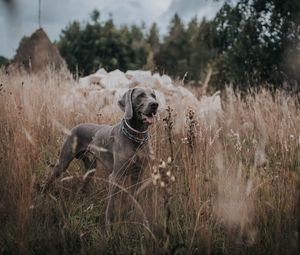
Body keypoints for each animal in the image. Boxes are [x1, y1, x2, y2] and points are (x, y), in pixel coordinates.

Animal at [44, 87, 159, 223]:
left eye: (153, 96)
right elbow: (111, 205)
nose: (155, 104)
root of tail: (75, 127)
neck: (137, 137)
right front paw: (108, 224)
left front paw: (131, 217)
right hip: (63, 162)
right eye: (140, 95)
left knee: (81, 186)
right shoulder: (115, 176)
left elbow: (133, 199)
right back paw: (43, 195)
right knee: (50, 178)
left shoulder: (138, 175)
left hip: (91, 169)